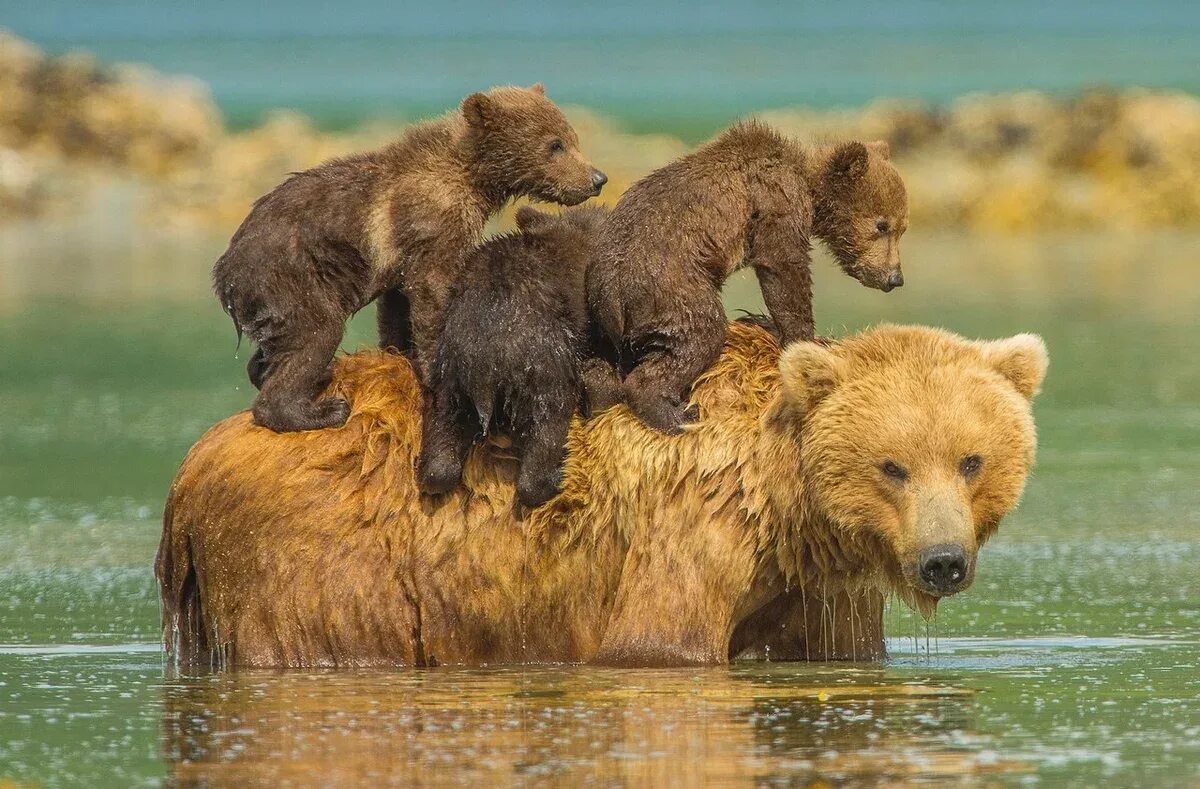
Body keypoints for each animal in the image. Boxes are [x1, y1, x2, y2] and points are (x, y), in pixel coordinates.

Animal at [157, 318, 1041, 661]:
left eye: (970, 460)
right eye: (891, 464)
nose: (942, 560)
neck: (783, 502)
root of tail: (194, 462)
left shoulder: (819, 587)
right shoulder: (690, 531)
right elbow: (657, 642)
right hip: (318, 558)